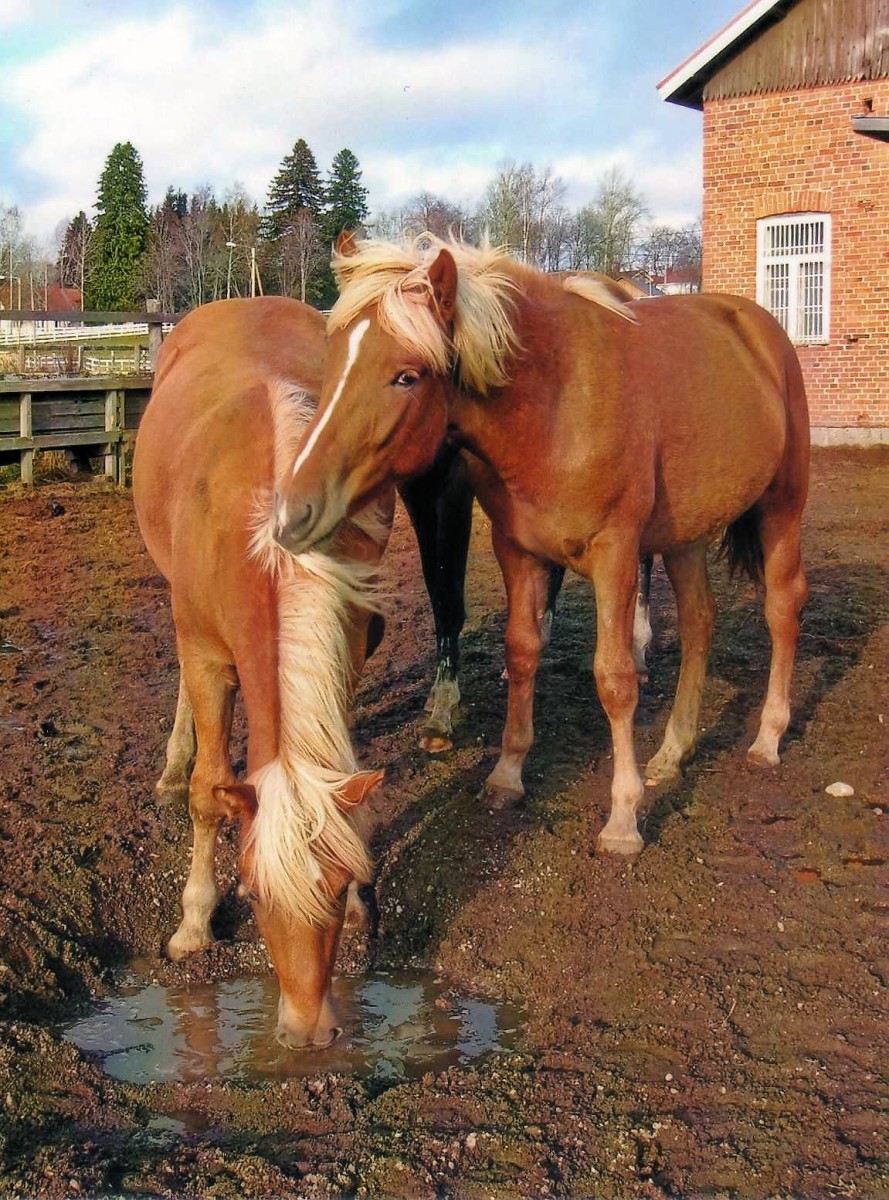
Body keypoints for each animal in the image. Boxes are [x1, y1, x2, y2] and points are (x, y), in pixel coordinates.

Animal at [133, 296, 392, 1049]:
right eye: (249, 894)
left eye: (333, 888)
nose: (308, 1031)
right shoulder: (205, 650)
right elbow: (207, 791)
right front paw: (193, 923)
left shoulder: (347, 642)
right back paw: (171, 764)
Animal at [274, 232, 809, 857]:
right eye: (334, 360)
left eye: (406, 376)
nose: (291, 511)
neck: (556, 410)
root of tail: (761, 329)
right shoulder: (519, 552)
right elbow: (523, 651)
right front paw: (507, 775)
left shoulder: (615, 555)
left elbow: (615, 678)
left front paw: (623, 819)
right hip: (686, 535)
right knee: (700, 621)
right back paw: (674, 752)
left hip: (781, 506)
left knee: (782, 607)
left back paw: (768, 735)